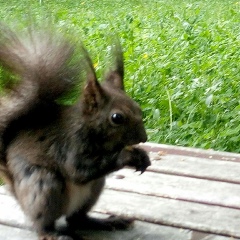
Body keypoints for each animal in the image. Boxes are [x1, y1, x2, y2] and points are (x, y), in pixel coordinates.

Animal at [0, 23, 151, 240]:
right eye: (117, 118)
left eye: (138, 108)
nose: (143, 138)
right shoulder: (69, 145)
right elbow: (78, 170)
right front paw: (127, 156)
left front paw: (142, 156)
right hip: (44, 185)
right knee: (43, 223)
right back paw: (51, 233)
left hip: (95, 187)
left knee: (77, 219)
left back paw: (105, 222)